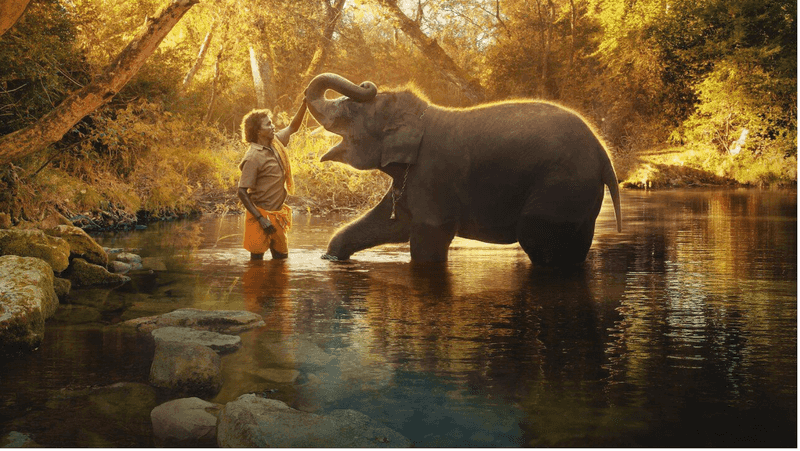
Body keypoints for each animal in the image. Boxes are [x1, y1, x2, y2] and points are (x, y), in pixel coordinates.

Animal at [304, 73, 622, 266]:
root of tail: (604, 156)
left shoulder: (432, 175)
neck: (421, 116)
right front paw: (331, 258)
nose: (366, 84)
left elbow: (428, 239)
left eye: (350, 112)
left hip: (561, 186)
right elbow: (391, 224)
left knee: (537, 240)